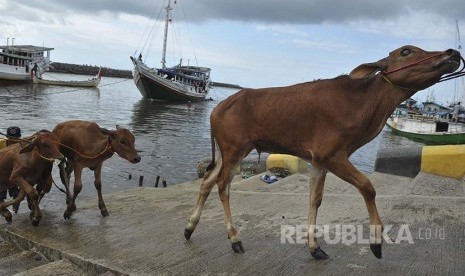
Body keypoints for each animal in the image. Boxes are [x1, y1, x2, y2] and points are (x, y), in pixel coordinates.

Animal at [183, 45, 462, 258]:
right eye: (406, 51)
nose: (453, 52)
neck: (365, 105)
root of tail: (217, 109)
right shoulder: (332, 155)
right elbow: (368, 187)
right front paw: (376, 242)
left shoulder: (318, 160)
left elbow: (315, 199)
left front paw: (314, 246)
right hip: (234, 150)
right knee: (222, 186)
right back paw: (234, 238)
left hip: (226, 152)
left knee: (207, 181)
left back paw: (189, 227)